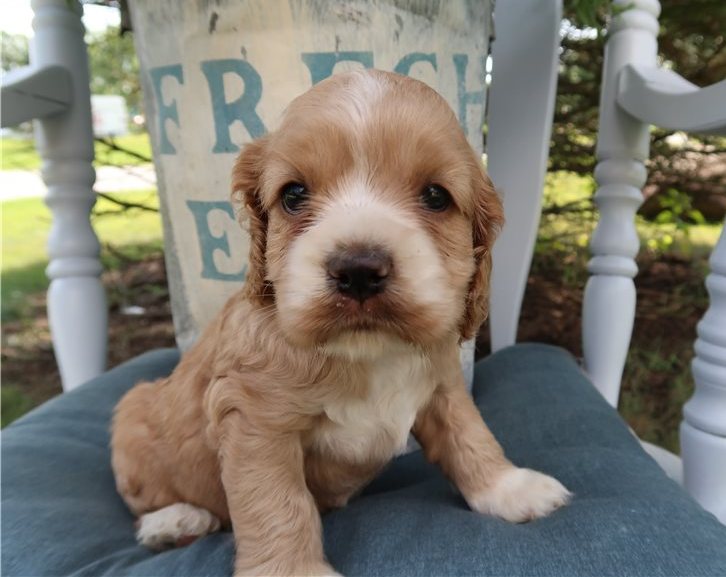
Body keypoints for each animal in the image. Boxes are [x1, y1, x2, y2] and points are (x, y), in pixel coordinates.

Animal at [111, 70, 572, 572]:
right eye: (294, 195)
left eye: (436, 196)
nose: (359, 270)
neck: (367, 351)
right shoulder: (255, 420)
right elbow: (275, 503)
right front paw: (293, 571)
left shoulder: (443, 385)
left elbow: (470, 434)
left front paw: (510, 488)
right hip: (131, 415)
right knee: (146, 499)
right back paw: (174, 521)